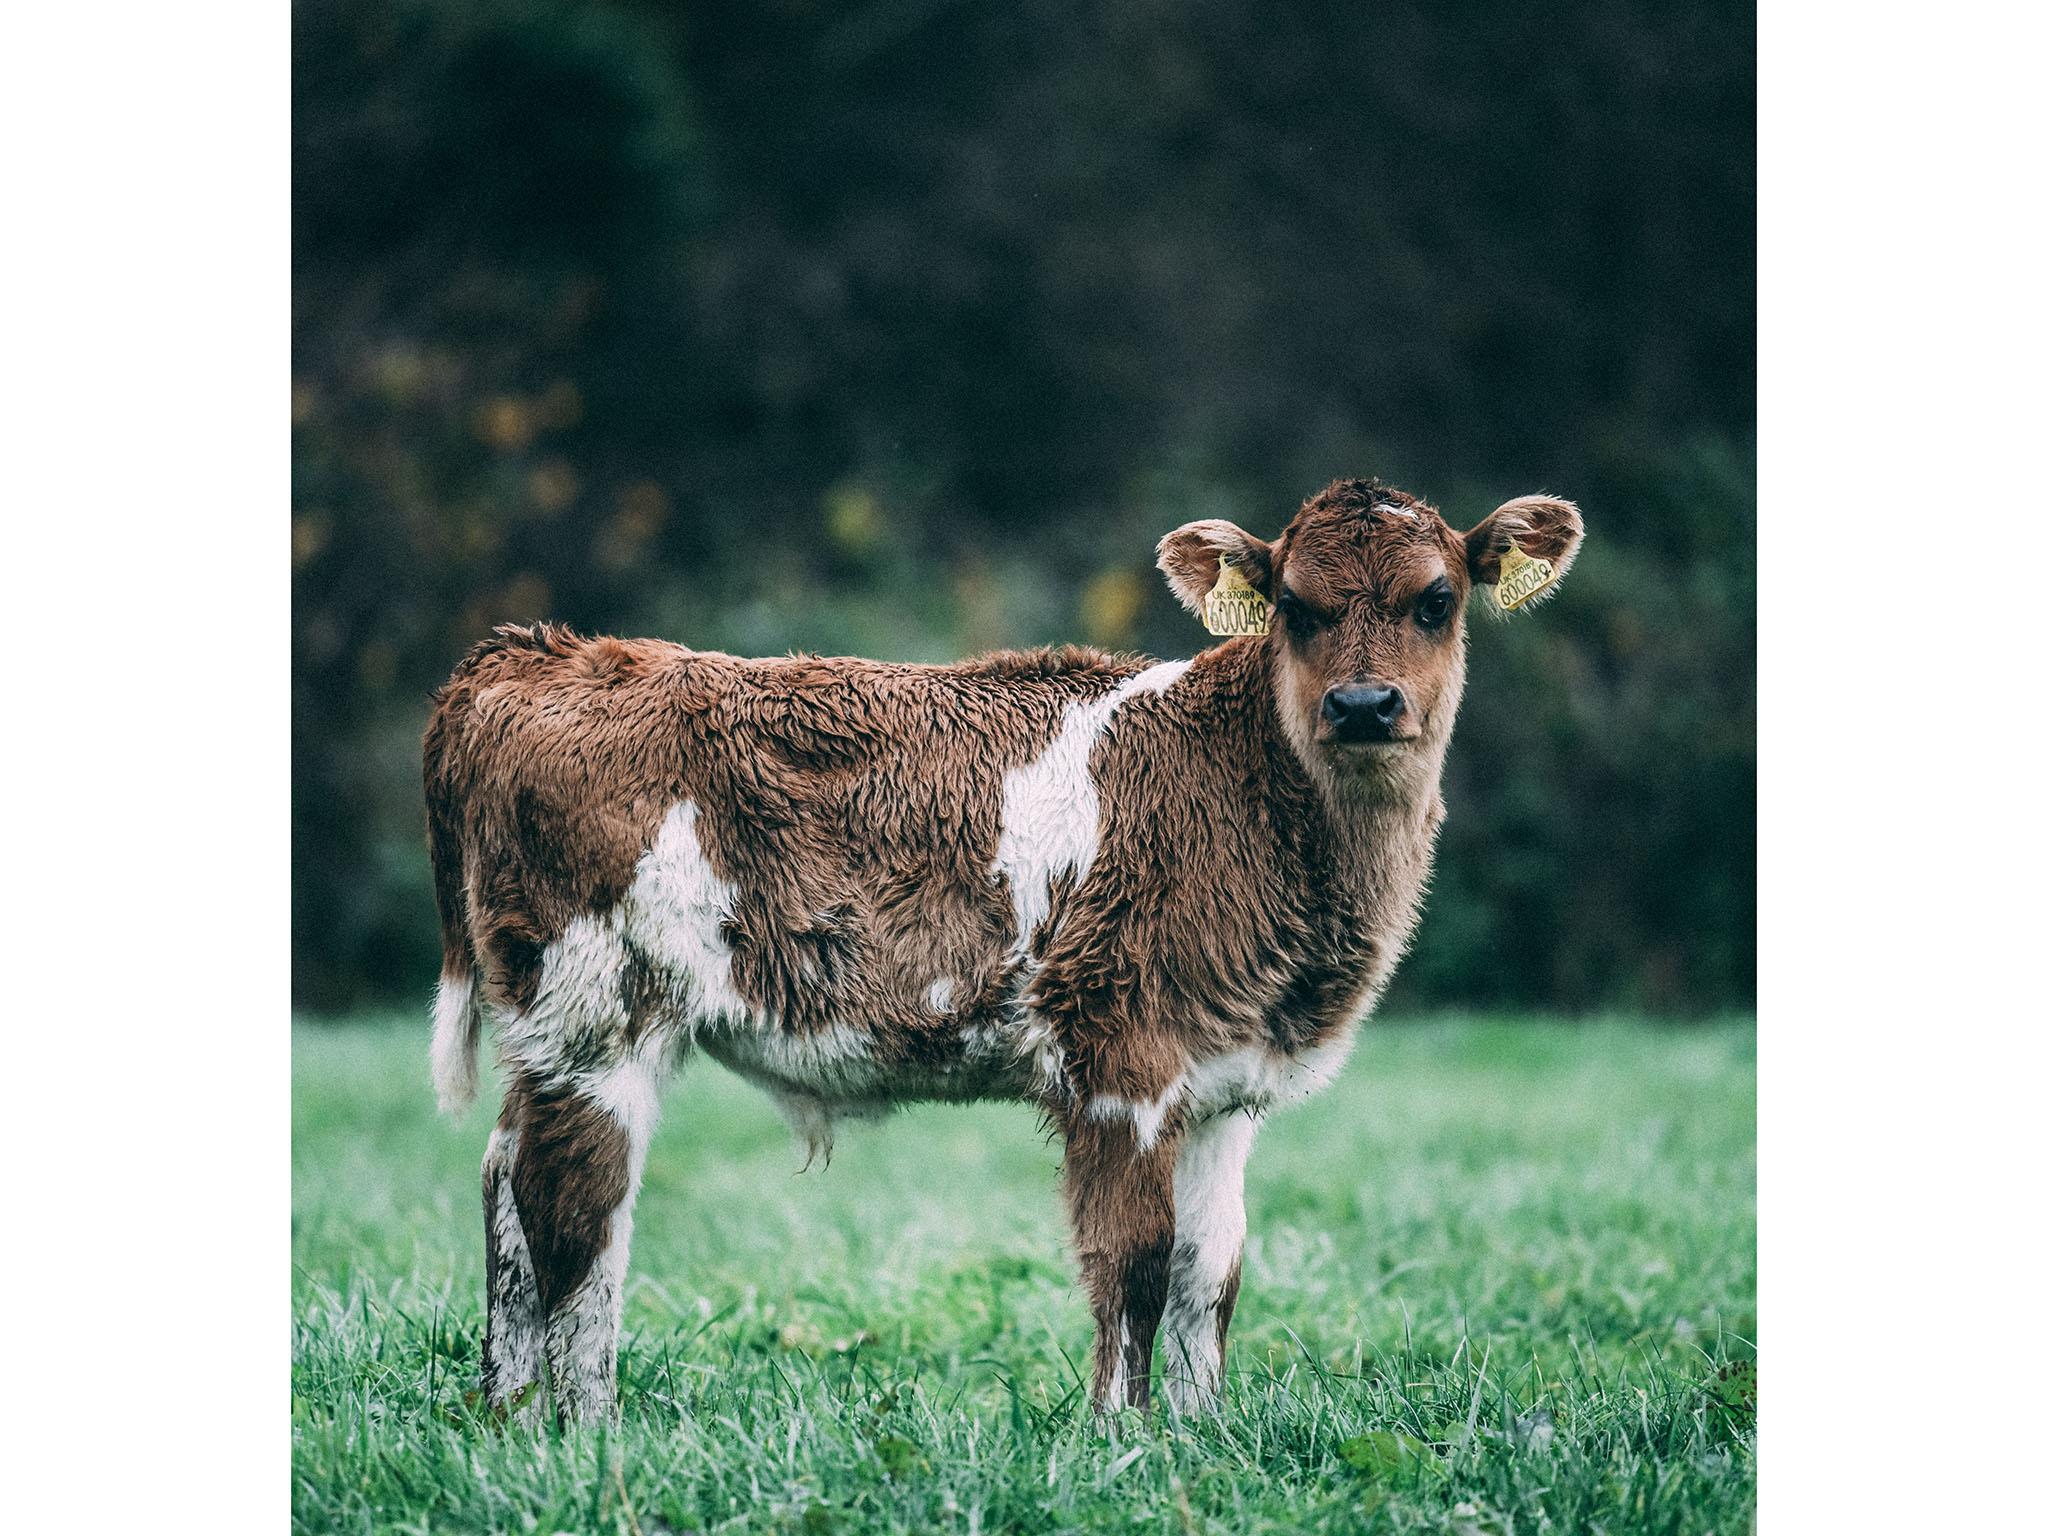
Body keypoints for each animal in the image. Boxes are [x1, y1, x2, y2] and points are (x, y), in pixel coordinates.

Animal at [428, 479, 1581, 1417]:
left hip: (555, 1033)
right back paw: (584, 1433)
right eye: (1295, 607)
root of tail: (546, 653)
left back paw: (507, 1416)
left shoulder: (1223, 1081)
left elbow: (1212, 1272)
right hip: (597, 1016)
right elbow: (1135, 1263)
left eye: (1436, 600)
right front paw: (1122, 1438)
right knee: (571, 1217)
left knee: (503, 1186)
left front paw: (1206, 1438)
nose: (1362, 704)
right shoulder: (1120, 1052)